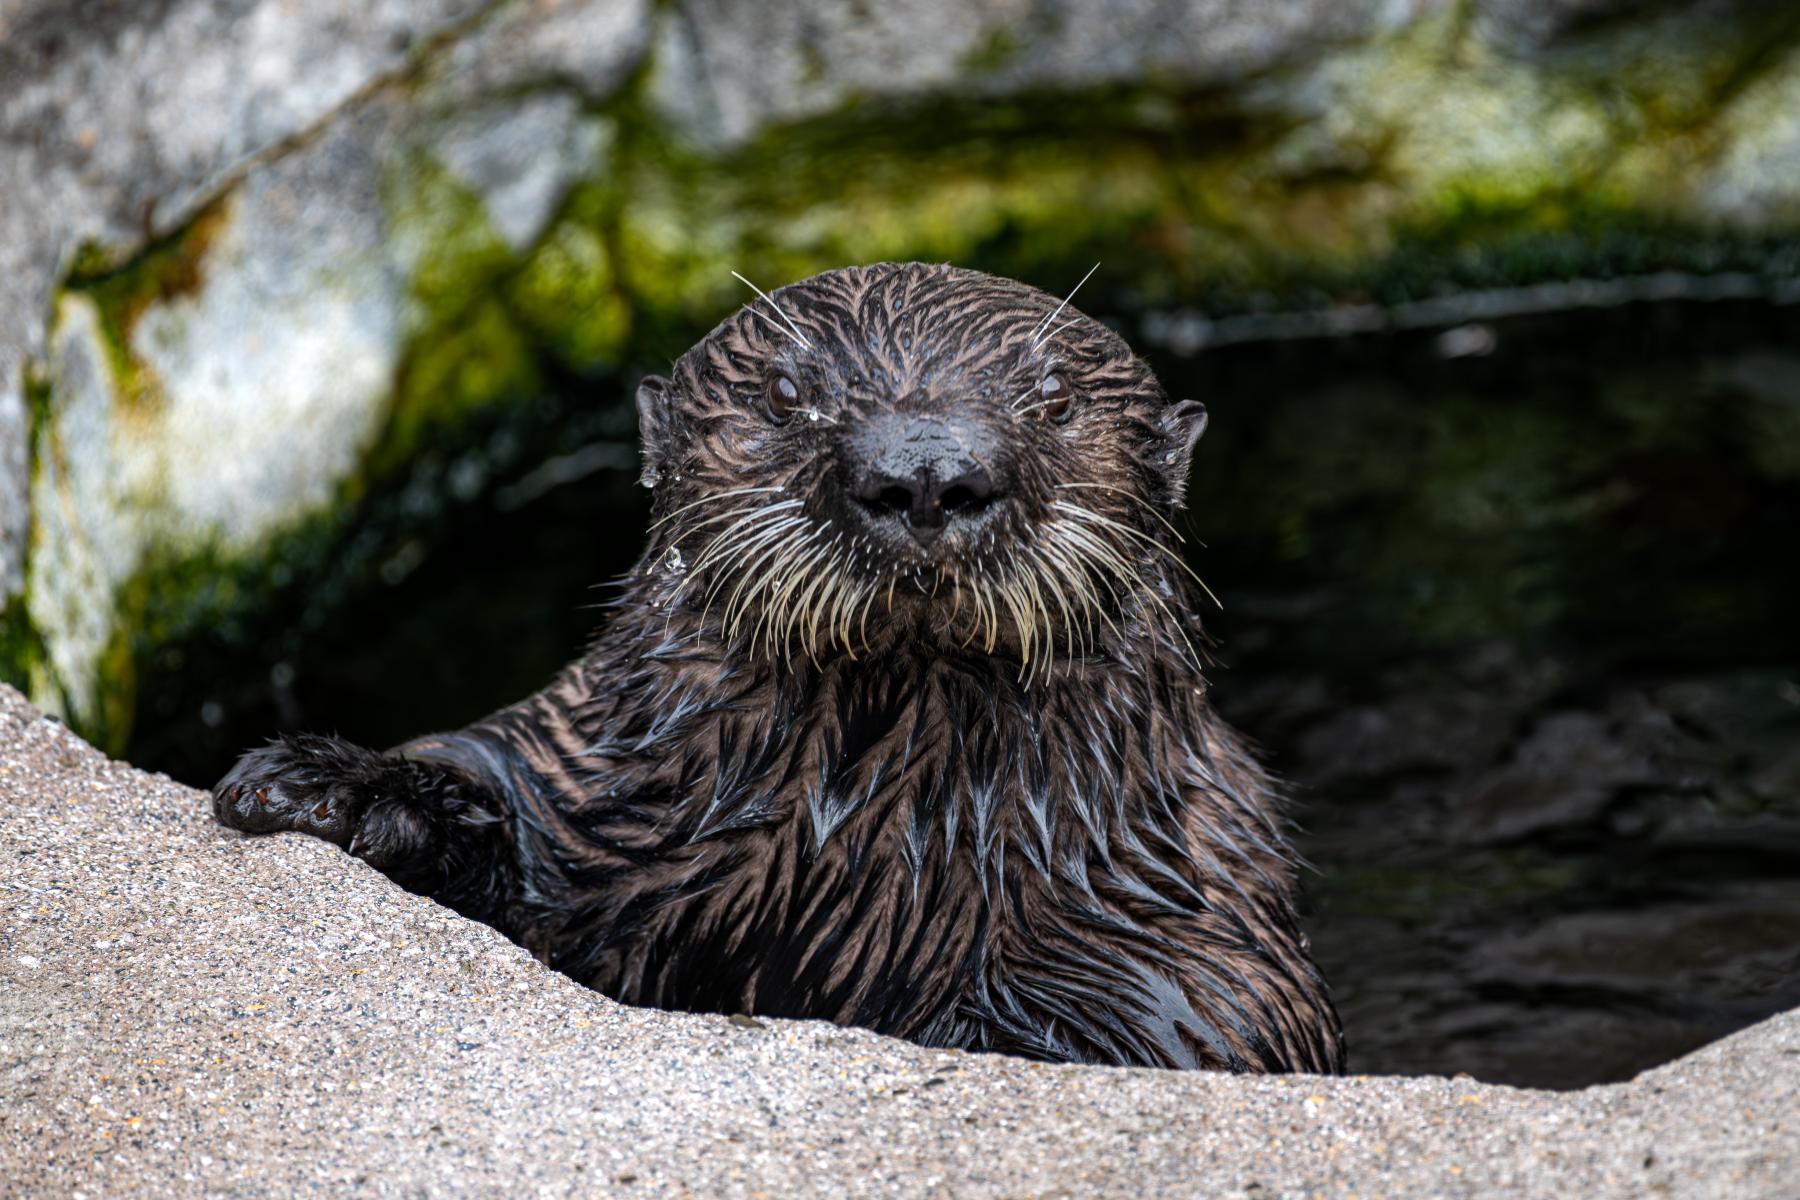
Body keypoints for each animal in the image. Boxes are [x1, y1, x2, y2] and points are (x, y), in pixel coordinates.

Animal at [213, 262, 1344, 1073]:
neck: (861, 860)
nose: (924, 471)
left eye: (1056, 399)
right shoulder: (578, 784)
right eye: (787, 391)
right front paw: (329, 788)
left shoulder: (1195, 964)